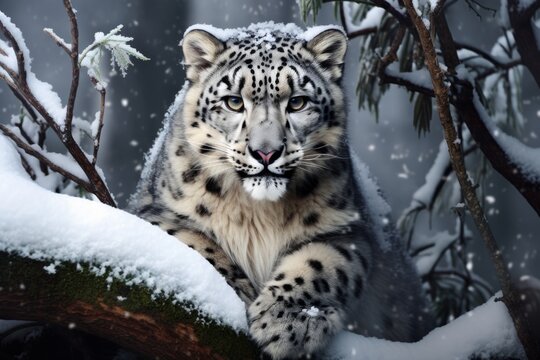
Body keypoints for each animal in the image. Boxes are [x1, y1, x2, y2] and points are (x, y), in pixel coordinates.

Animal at [129, 23, 432, 360]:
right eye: (234, 101)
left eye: (298, 102)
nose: (266, 152)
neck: (257, 212)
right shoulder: (157, 214)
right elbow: (197, 245)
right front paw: (238, 291)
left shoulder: (346, 230)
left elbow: (320, 266)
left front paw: (288, 322)